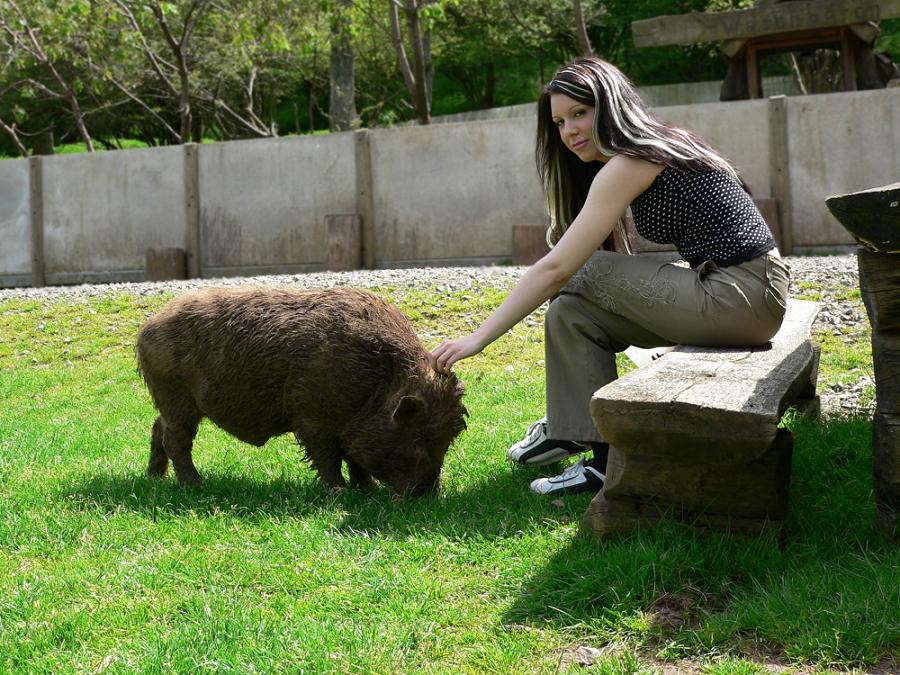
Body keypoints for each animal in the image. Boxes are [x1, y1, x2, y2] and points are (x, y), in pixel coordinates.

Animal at [139, 286, 472, 496]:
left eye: (446, 442)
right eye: (419, 438)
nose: (428, 495)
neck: (378, 386)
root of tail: (147, 328)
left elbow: (352, 457)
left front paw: (367, 489)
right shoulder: (312, 418)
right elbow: (329, 457)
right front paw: (339, 494)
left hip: (170, 401)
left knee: (157, 428)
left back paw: (155, 478)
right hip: (175, 395)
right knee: (176, 440)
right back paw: (196, 485)